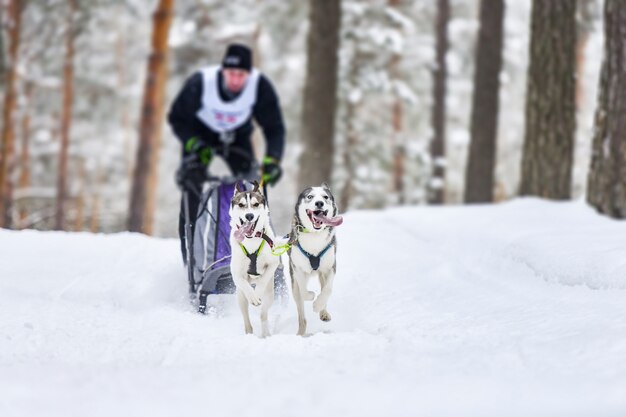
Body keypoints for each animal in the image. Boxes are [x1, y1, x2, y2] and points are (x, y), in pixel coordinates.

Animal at [228, 180, 280, 334]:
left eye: (256, 204)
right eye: (241, 205)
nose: (249, 216)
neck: (251, 240)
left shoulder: (273, 262)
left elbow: (263, 279)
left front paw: (257, 293)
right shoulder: (236, 273)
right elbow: (244, 283)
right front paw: (253, 296)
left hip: (270, 294)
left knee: (264, 314)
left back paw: (265, 333)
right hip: (240, 297)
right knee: (246, 318)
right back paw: (249, 332)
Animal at [288, 182, 342, 334]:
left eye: (325, 197)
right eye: (310, 197)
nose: (319, 203)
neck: (314, 235)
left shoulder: (330, 267)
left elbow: (328, 290)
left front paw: (317, 306)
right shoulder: (298, 269)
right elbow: (304, 292)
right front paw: (311, 296)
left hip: (322, 274)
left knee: (324, 290)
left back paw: (323, 312)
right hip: (294, 285)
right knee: (302, 315)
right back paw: (300, 332)